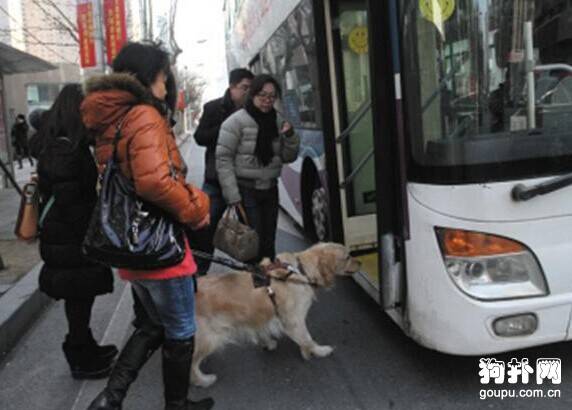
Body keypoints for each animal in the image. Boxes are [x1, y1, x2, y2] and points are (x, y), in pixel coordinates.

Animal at [192, 243, 362, 388]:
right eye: (348, 257)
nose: (360, 262)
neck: (301, 272)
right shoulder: (294, 320)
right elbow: (307, 339)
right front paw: (318, 351)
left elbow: (265, 330)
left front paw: (268, 343)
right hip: (208, 339)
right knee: (192, 366)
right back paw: (204, 380)